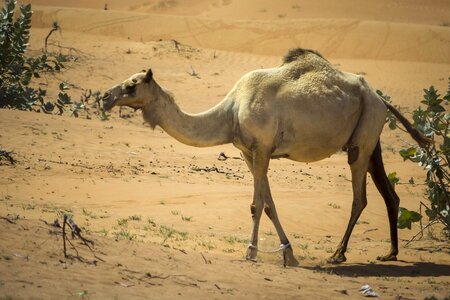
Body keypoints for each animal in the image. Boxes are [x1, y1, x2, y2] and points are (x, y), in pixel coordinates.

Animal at [102, 48, 428, 266]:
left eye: (132, 84)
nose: (104, 97)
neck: (231, 111)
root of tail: (381, 98)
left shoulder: (261, 149)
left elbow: (256, 205)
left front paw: (250, 251)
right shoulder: (249, 152)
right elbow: (269, 204)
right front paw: (289, 254)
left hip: (363, 136)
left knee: (359, 198)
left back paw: (338, 254)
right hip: (372, 138)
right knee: (389, 194)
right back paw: (390, 253)